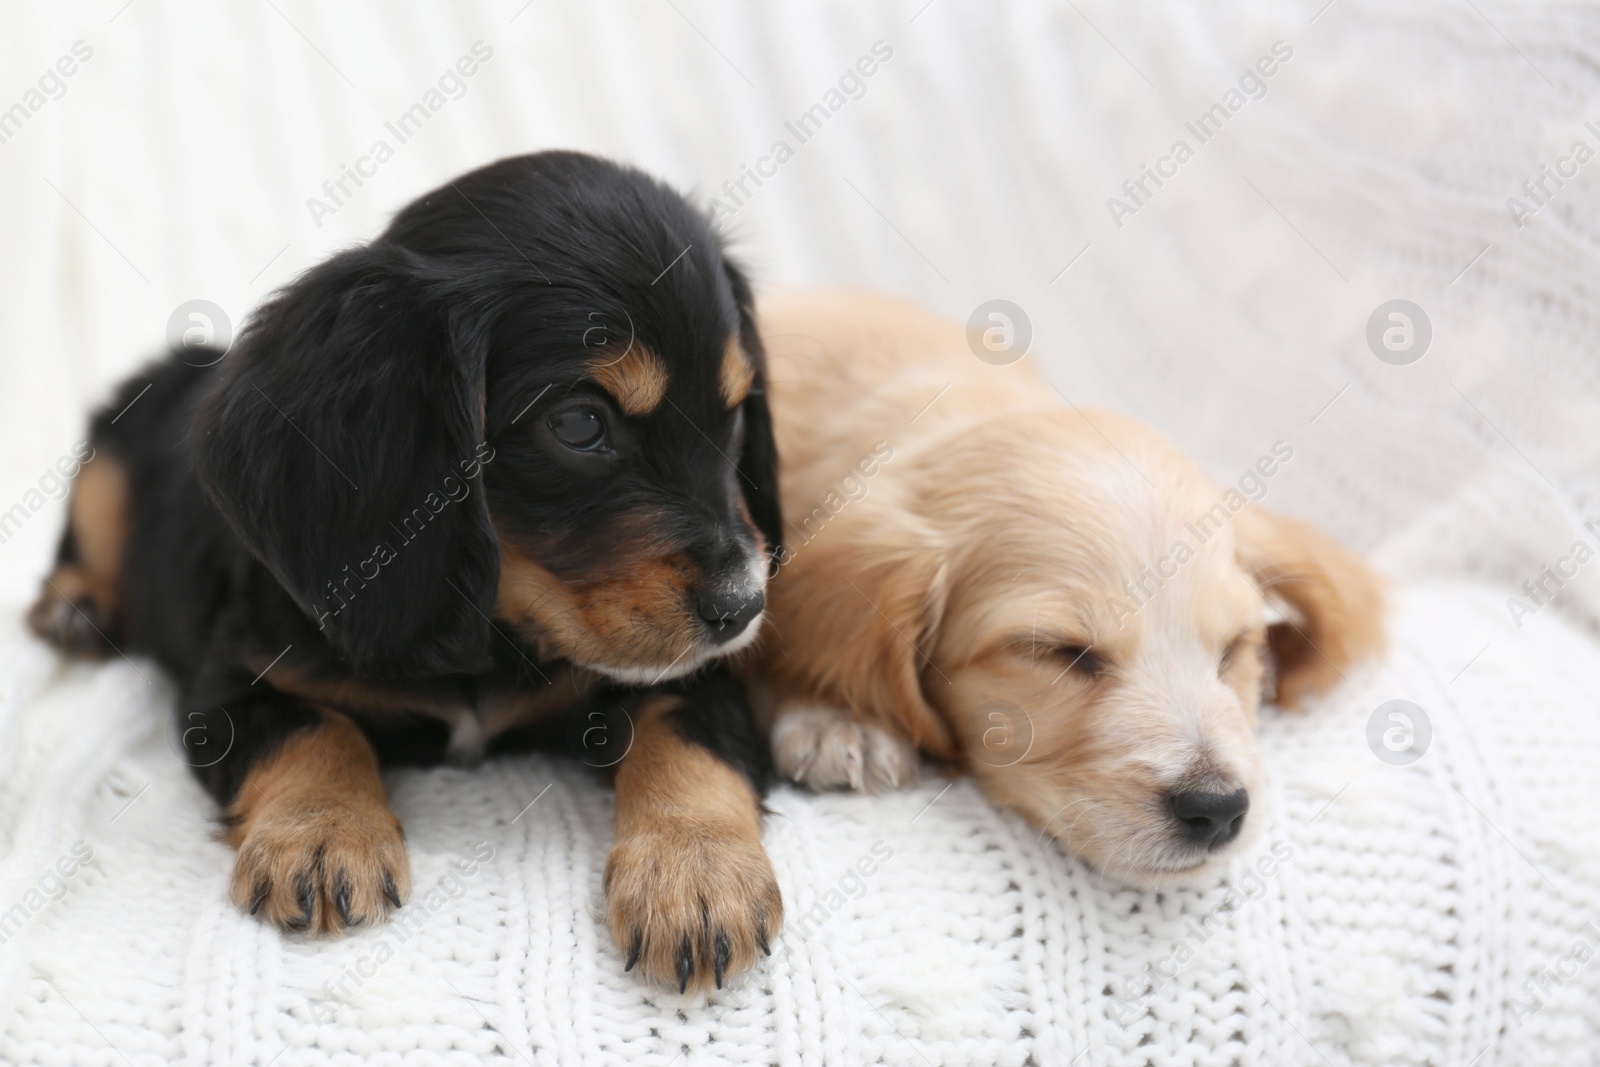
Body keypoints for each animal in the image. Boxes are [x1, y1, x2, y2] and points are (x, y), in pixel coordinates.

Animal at [29, 150, 787, 991]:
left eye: (736, 411)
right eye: (578, 424)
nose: (742, 606)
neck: (493, 626)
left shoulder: (696, 680)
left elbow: (688, 738)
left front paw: (697, 873)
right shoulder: (228, 684)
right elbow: (315, 727)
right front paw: (322, 835)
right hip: (107, 464)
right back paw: (72, 606)